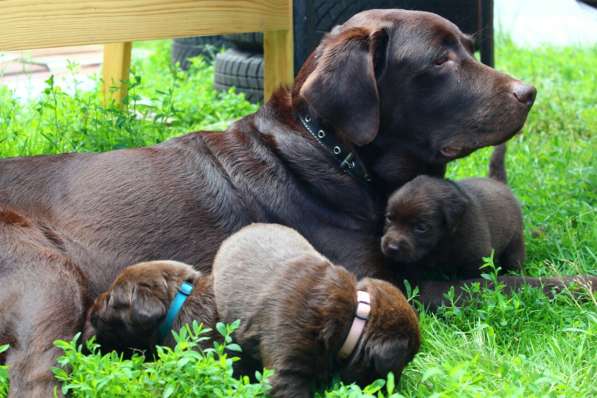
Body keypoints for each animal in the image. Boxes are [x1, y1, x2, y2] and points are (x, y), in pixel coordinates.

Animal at [380, 144, 524, 280]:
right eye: (389, 218)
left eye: (421, 228)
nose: (392, 248)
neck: (442, 241)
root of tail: (497, 181)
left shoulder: (476, 259)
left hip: (515, 239)